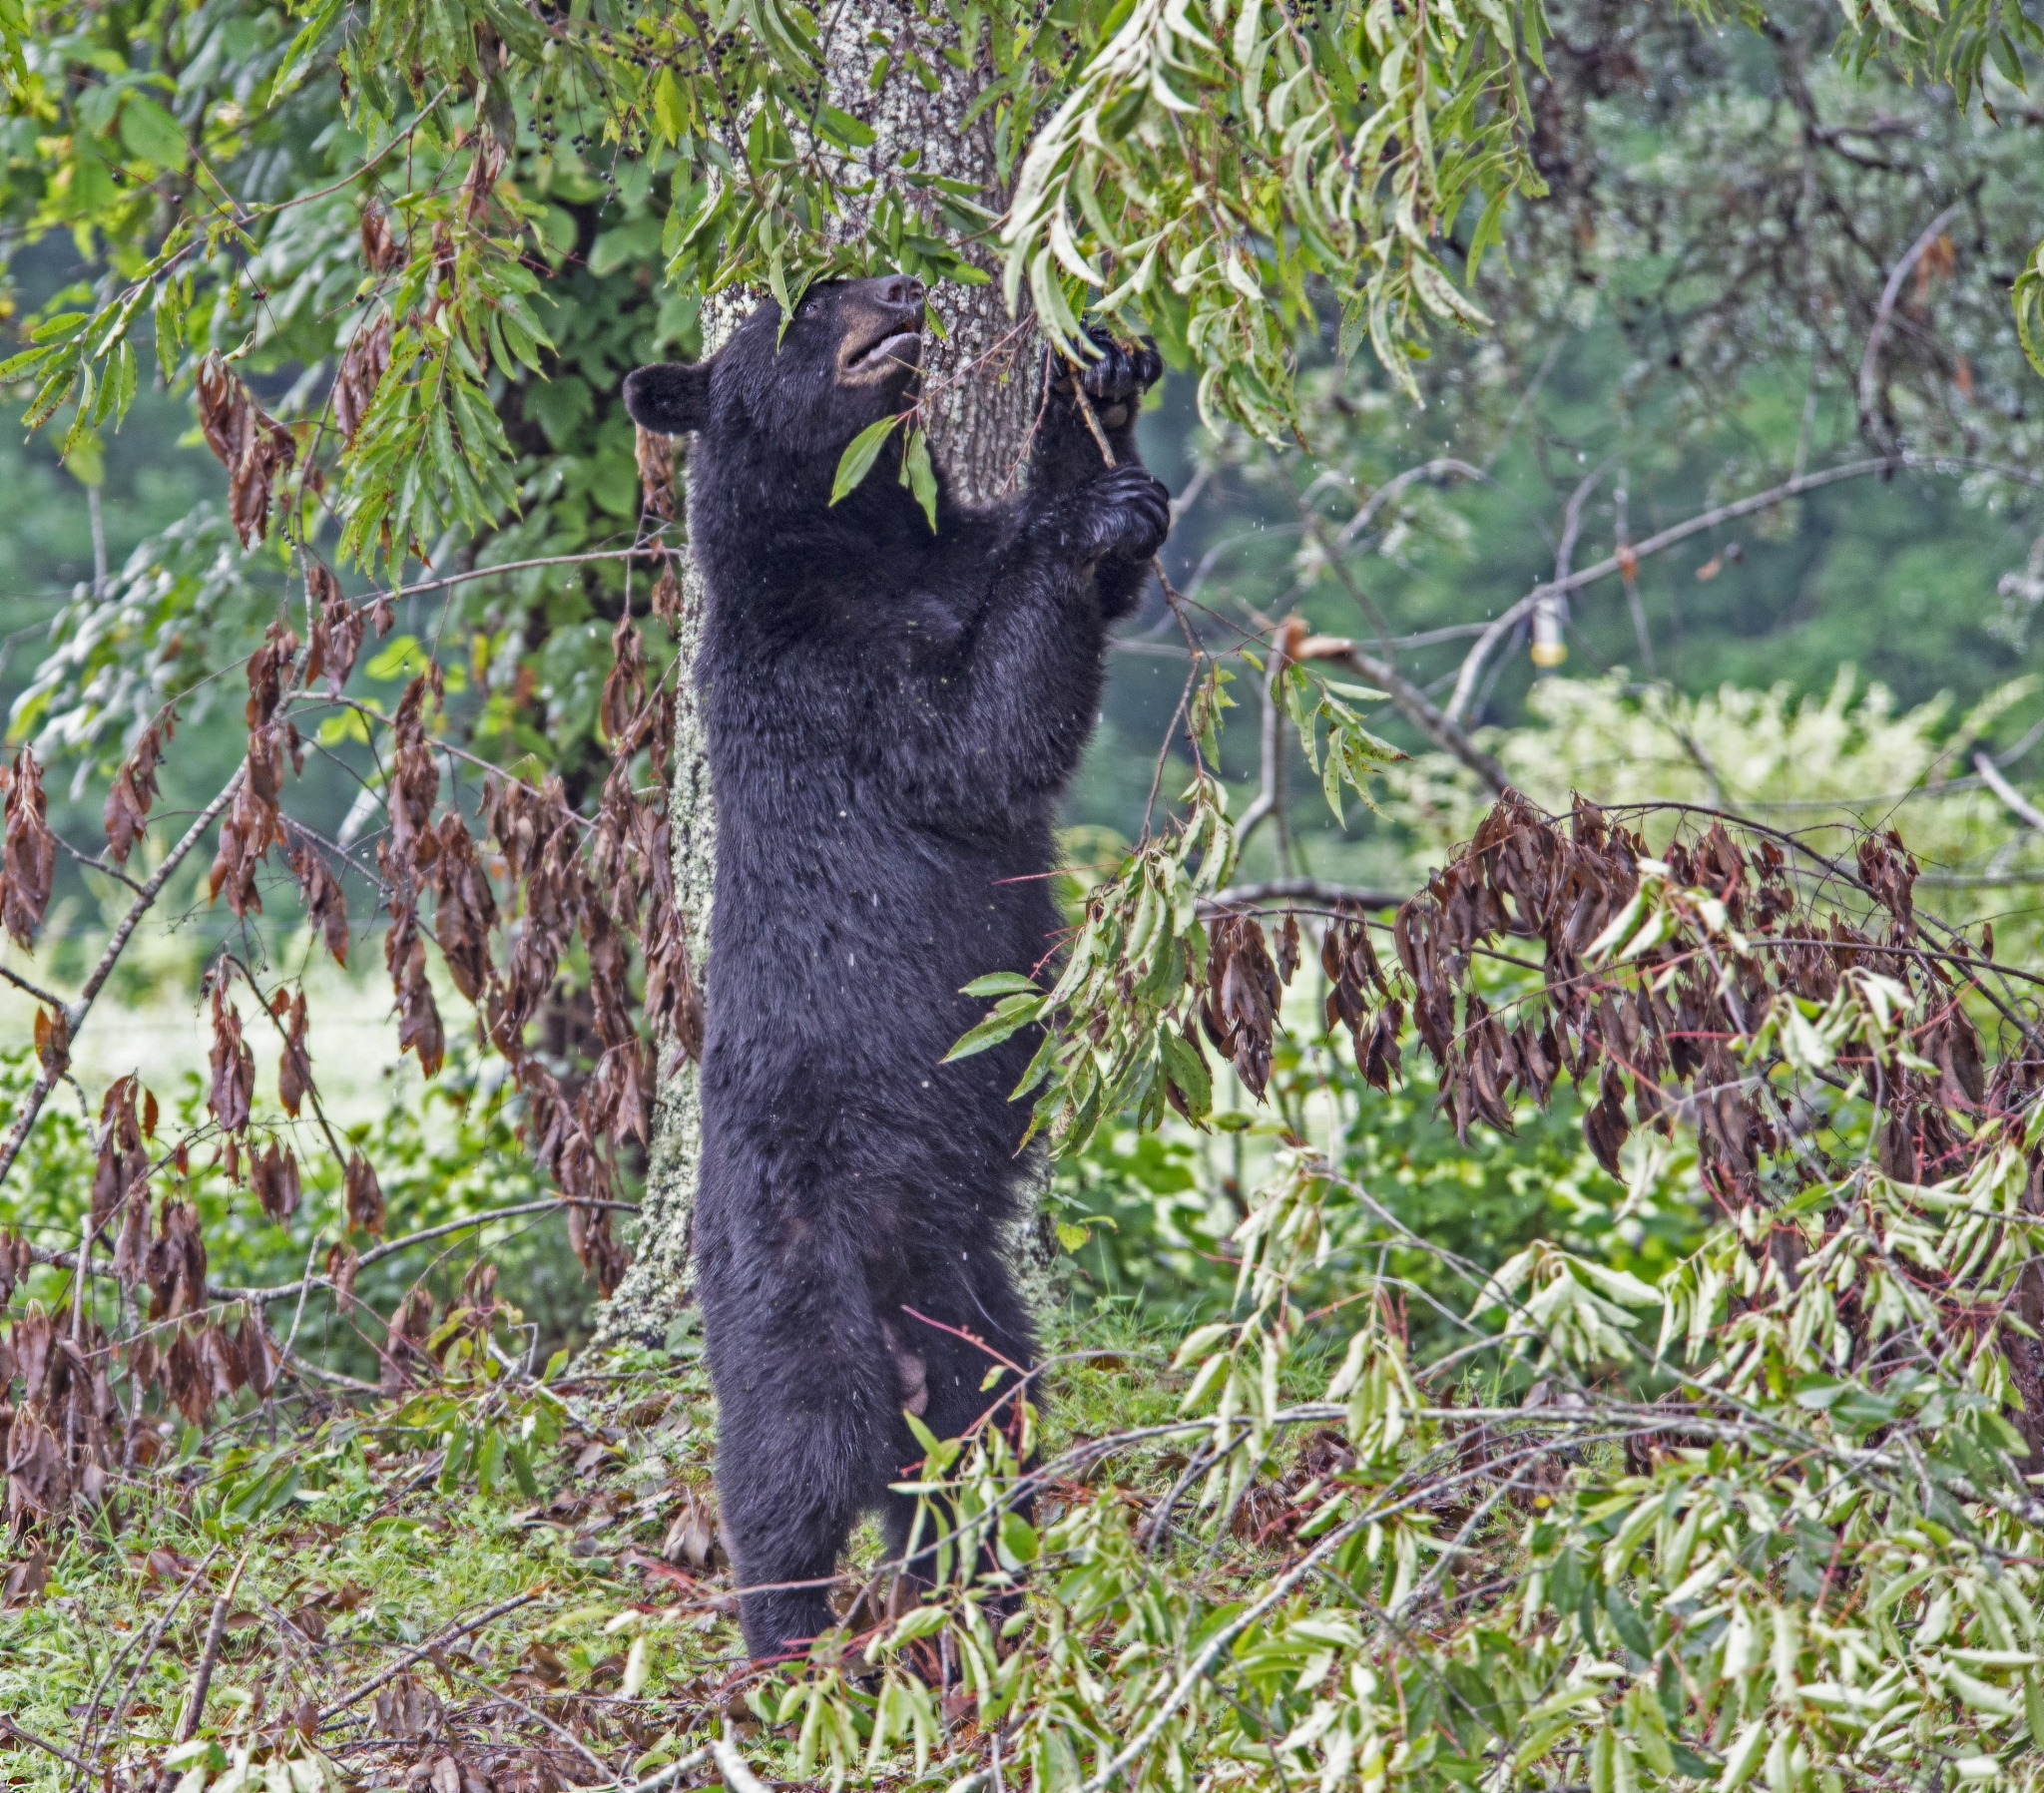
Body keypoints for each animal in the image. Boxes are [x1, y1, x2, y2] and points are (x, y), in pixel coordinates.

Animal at [622, 274, 1168, 1662]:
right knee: (793, 1460)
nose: (900, 287)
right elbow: (979, 732)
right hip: (791, 1274)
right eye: (803, 308)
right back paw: (784, 1644)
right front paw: (1087, 513)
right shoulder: (827, 683)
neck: (848, 539)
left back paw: (984, 1604)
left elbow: (1048, 582)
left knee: (986, 1438)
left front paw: (1101, 386)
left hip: (966, 1306)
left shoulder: (934, 557)